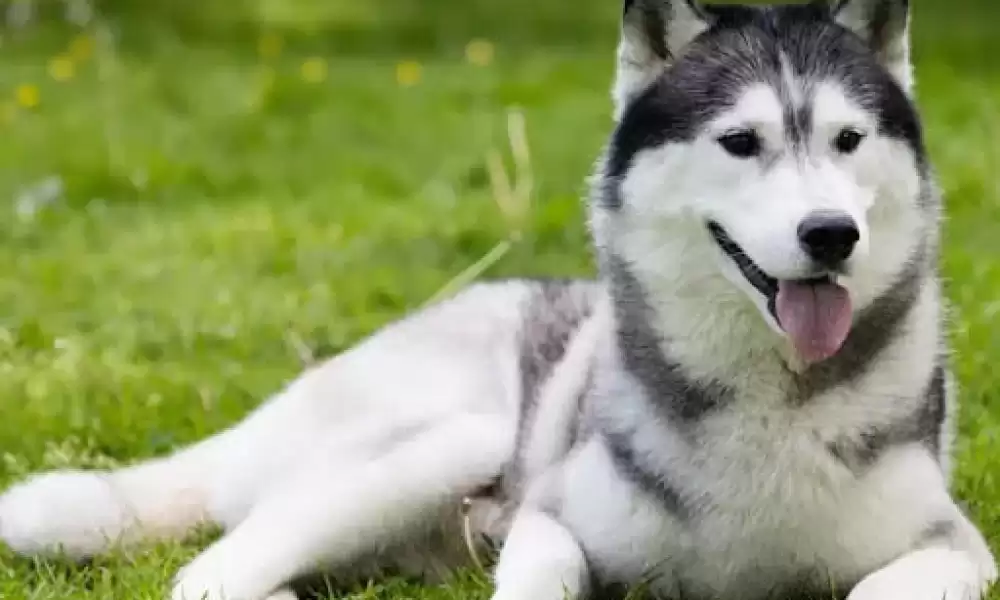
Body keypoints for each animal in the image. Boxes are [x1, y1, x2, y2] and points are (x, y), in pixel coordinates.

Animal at [1, 1, 1000, 600]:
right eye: (741, 142)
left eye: (847, 140)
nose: (832, 233)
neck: (767, 402)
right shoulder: (549, 518)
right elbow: (541, 571)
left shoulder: (956, 548)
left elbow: (881, 583)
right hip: (459, 436)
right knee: (211, 570)